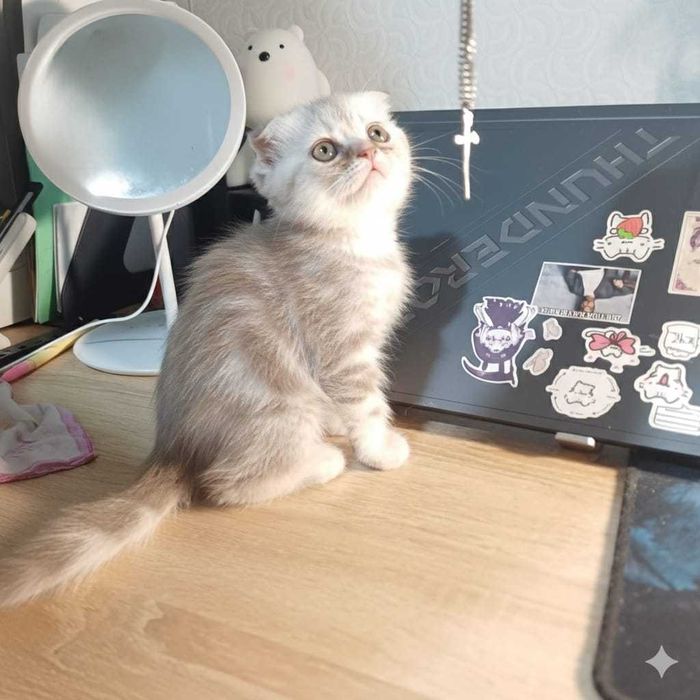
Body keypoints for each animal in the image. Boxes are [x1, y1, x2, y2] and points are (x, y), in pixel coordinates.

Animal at [0, 91, 414, 606]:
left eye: (377, 132)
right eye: (324, 151)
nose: (369, 151)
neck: (356, 242)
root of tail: (174, 449)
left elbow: (348, 406)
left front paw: (343, 424)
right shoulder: (343, 352)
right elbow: (367, 405)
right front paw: (379, 449)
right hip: (278, 407)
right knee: (226, 484)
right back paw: (321, 462)